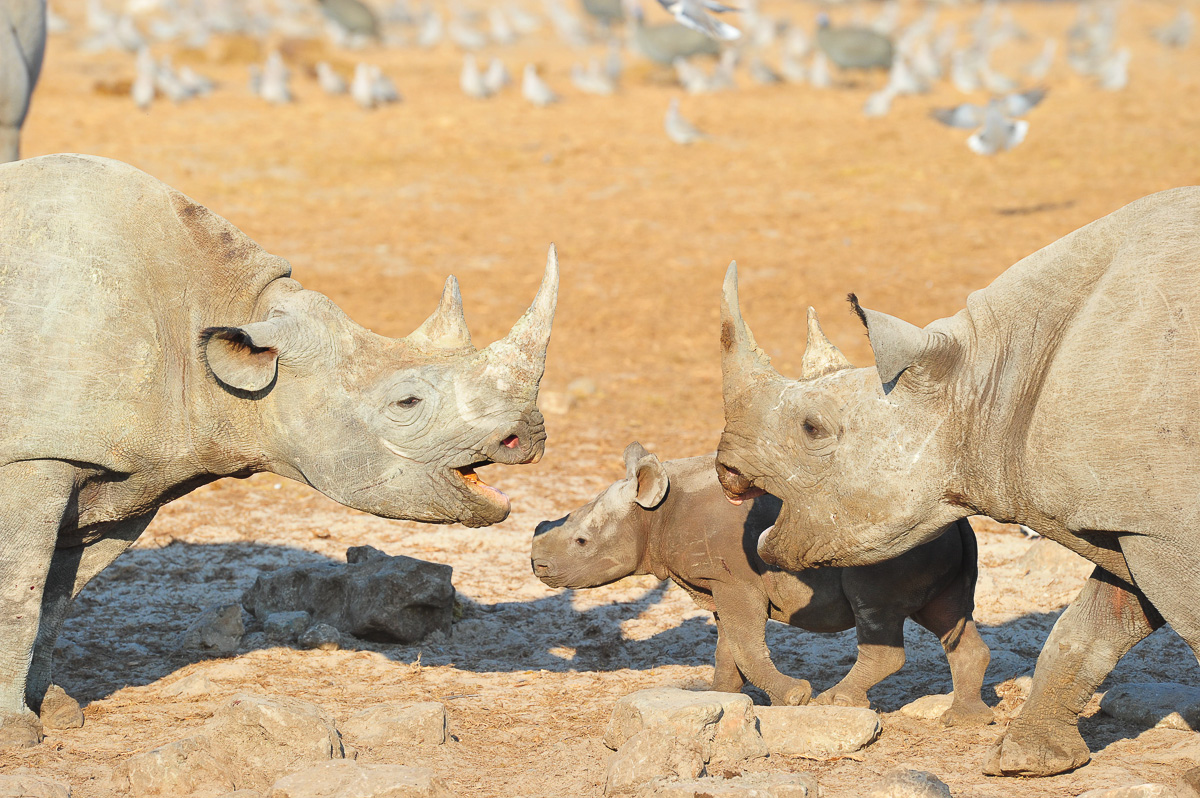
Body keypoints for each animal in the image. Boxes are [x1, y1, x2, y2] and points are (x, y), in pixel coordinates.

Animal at [0, 154, 558, 748]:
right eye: (406, 403)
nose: (528, 435)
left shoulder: (123, 470)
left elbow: (56, 593)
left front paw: (56, 710)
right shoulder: (33, 457)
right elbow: (19, 588)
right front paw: (16, 734)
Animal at [532, 443, 993, 722]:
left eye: (581, 541)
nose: (537, 564)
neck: (654, 513)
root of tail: (956, 519)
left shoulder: (735, 581)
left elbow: (746, 645)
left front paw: (795, 698)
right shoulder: (717, 585)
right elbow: (728, 647)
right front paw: (718, 697)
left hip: (887, 545)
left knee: (875, 609)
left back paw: (836, 701)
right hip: (928, 537)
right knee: (947, 615)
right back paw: (965, 719)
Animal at [714, 186, 1200, 776]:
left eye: (812, 428)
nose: (723, 463)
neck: (984, 378)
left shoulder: (1166, 527)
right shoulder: (1134, 516)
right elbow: (1089, 628)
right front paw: (1025, 761)